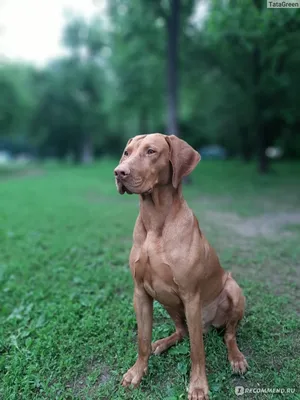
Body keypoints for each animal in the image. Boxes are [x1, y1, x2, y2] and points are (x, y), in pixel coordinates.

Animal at [113, 134, 247, 400]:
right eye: (126, 152)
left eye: (151, 151)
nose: (119, 173)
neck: (155, 221)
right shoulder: (140, 293)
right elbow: (142, 340)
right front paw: (137, 372)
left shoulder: (191, 296)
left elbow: (197, 351)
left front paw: (198, 386)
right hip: (167, 300)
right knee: (181, 331)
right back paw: (162, 343)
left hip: (233, 291)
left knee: (228, 334)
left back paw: (236, 358)